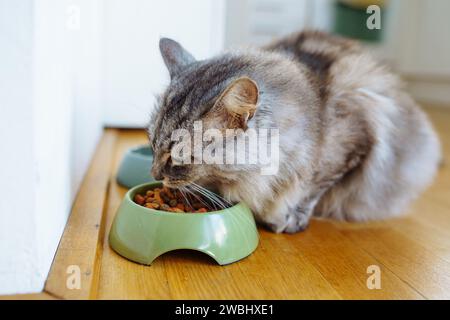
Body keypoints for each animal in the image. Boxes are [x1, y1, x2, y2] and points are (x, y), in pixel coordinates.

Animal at [147, 30, 440, 232]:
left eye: (179, 156)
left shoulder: (351, 146)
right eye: (152, 144)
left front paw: (290, 219)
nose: (154, 174)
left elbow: (311, 189)